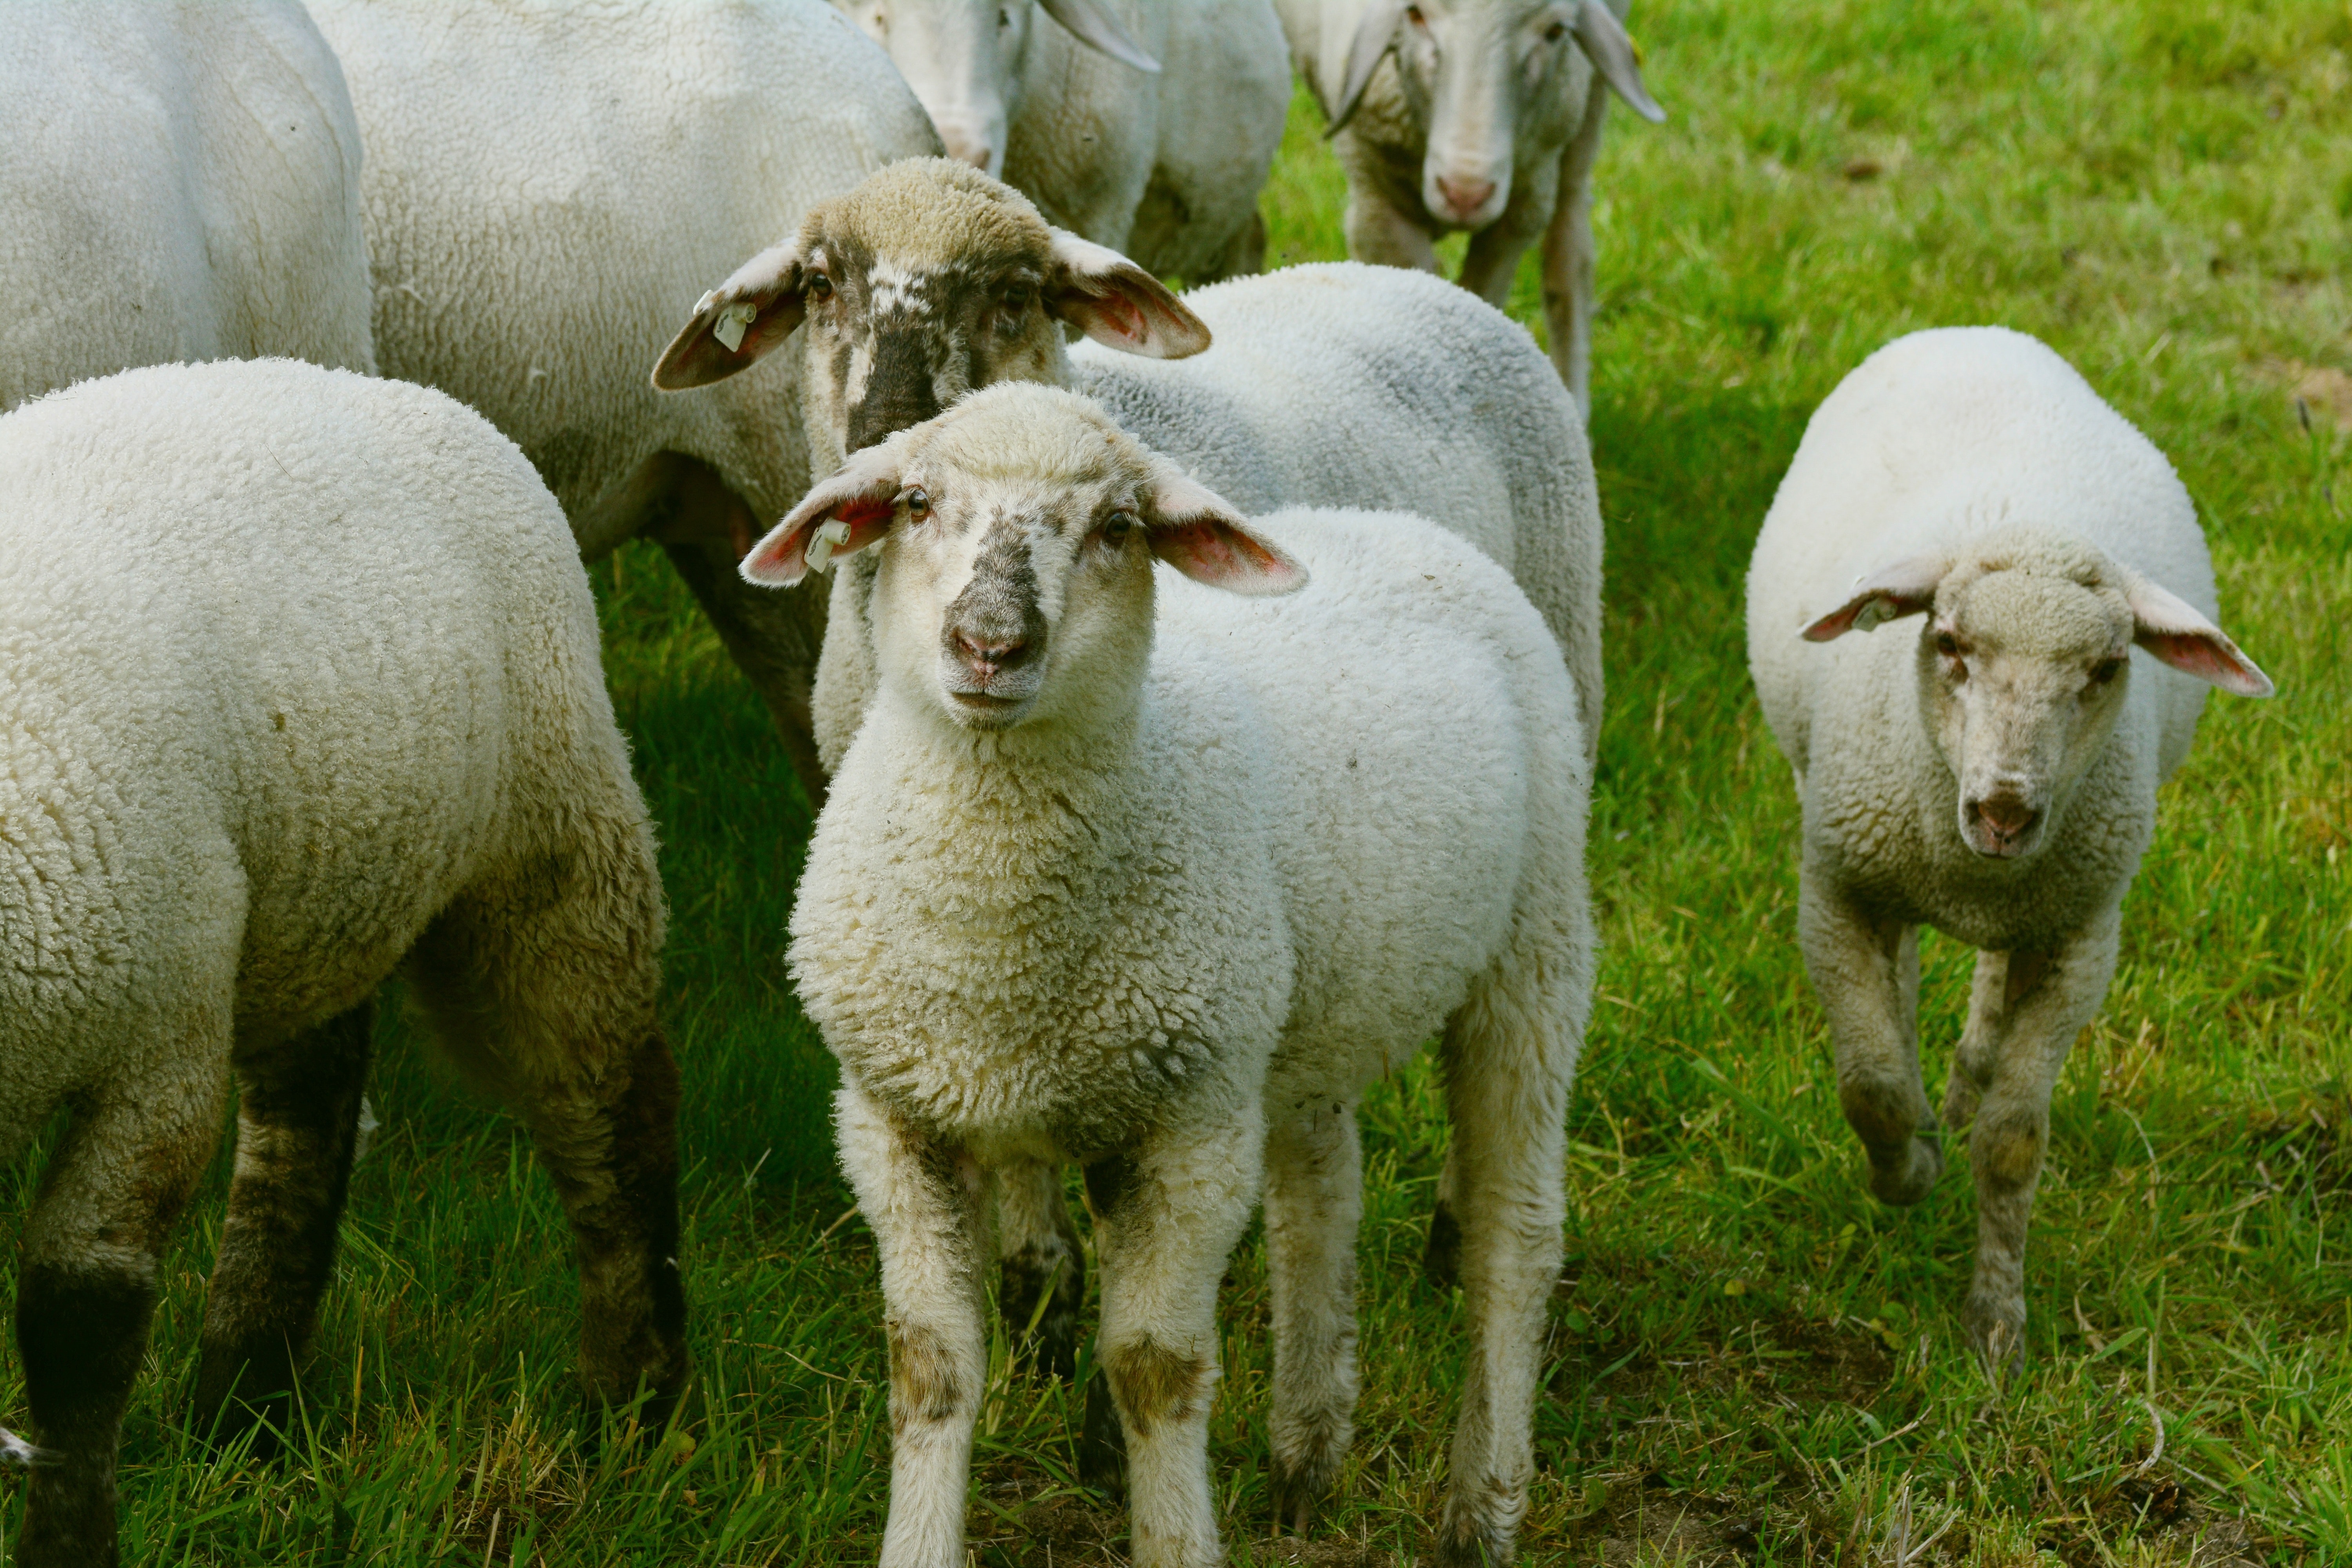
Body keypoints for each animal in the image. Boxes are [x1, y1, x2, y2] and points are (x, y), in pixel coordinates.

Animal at [0, 359, 685, 1568]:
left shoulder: (156, 1050)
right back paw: (245, 1402)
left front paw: (67, 1544)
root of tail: (370, 382)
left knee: (612, 1101)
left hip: (548, 828)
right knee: (307, 1120)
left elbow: (79, 1318)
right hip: (316, 880)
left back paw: (631, 1402)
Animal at [653, 155, 1605, 1376]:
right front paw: (1039, 1296)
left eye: (1015, 296)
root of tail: (1409, 280)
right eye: (821, 286)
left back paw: (1453, 1236)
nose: (889, 428)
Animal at [751, 384, 1592, 1568]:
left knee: (1514, 1236)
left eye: (1118, 528)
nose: (990, 644)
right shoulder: (895, 1118)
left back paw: (1482, 1509)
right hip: (1298, 1009)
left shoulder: (1188, 1130)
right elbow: (930, 1364)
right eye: (916, 503)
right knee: (1320, 1191)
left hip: (1535, 941)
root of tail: (1400, 527)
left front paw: (1172, 1533)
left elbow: (1155, 1371)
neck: (995, 953)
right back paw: (1307, 1450)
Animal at [1275, 0, 1666, 415]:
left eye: (1556, 31)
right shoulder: (1378, 204)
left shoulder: (1525, 201)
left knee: (1570, 244)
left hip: (1584, 106)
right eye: (1415, 15)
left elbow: (1482, 299)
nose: (1465, 194)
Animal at [1744, 327, 2275, 1374]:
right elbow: (1868, 1083)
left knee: (1988, 988)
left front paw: (1996, 1327)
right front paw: (1906, 1171)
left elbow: (2014, 1141)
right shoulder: (1836, 891)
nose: (2003, 811)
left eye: (2106, 668)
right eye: (1948, 642)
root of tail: (1978, 332)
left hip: (2040, 899)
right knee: (1906, 981)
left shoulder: (2080, 938)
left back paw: (1963, 1077)